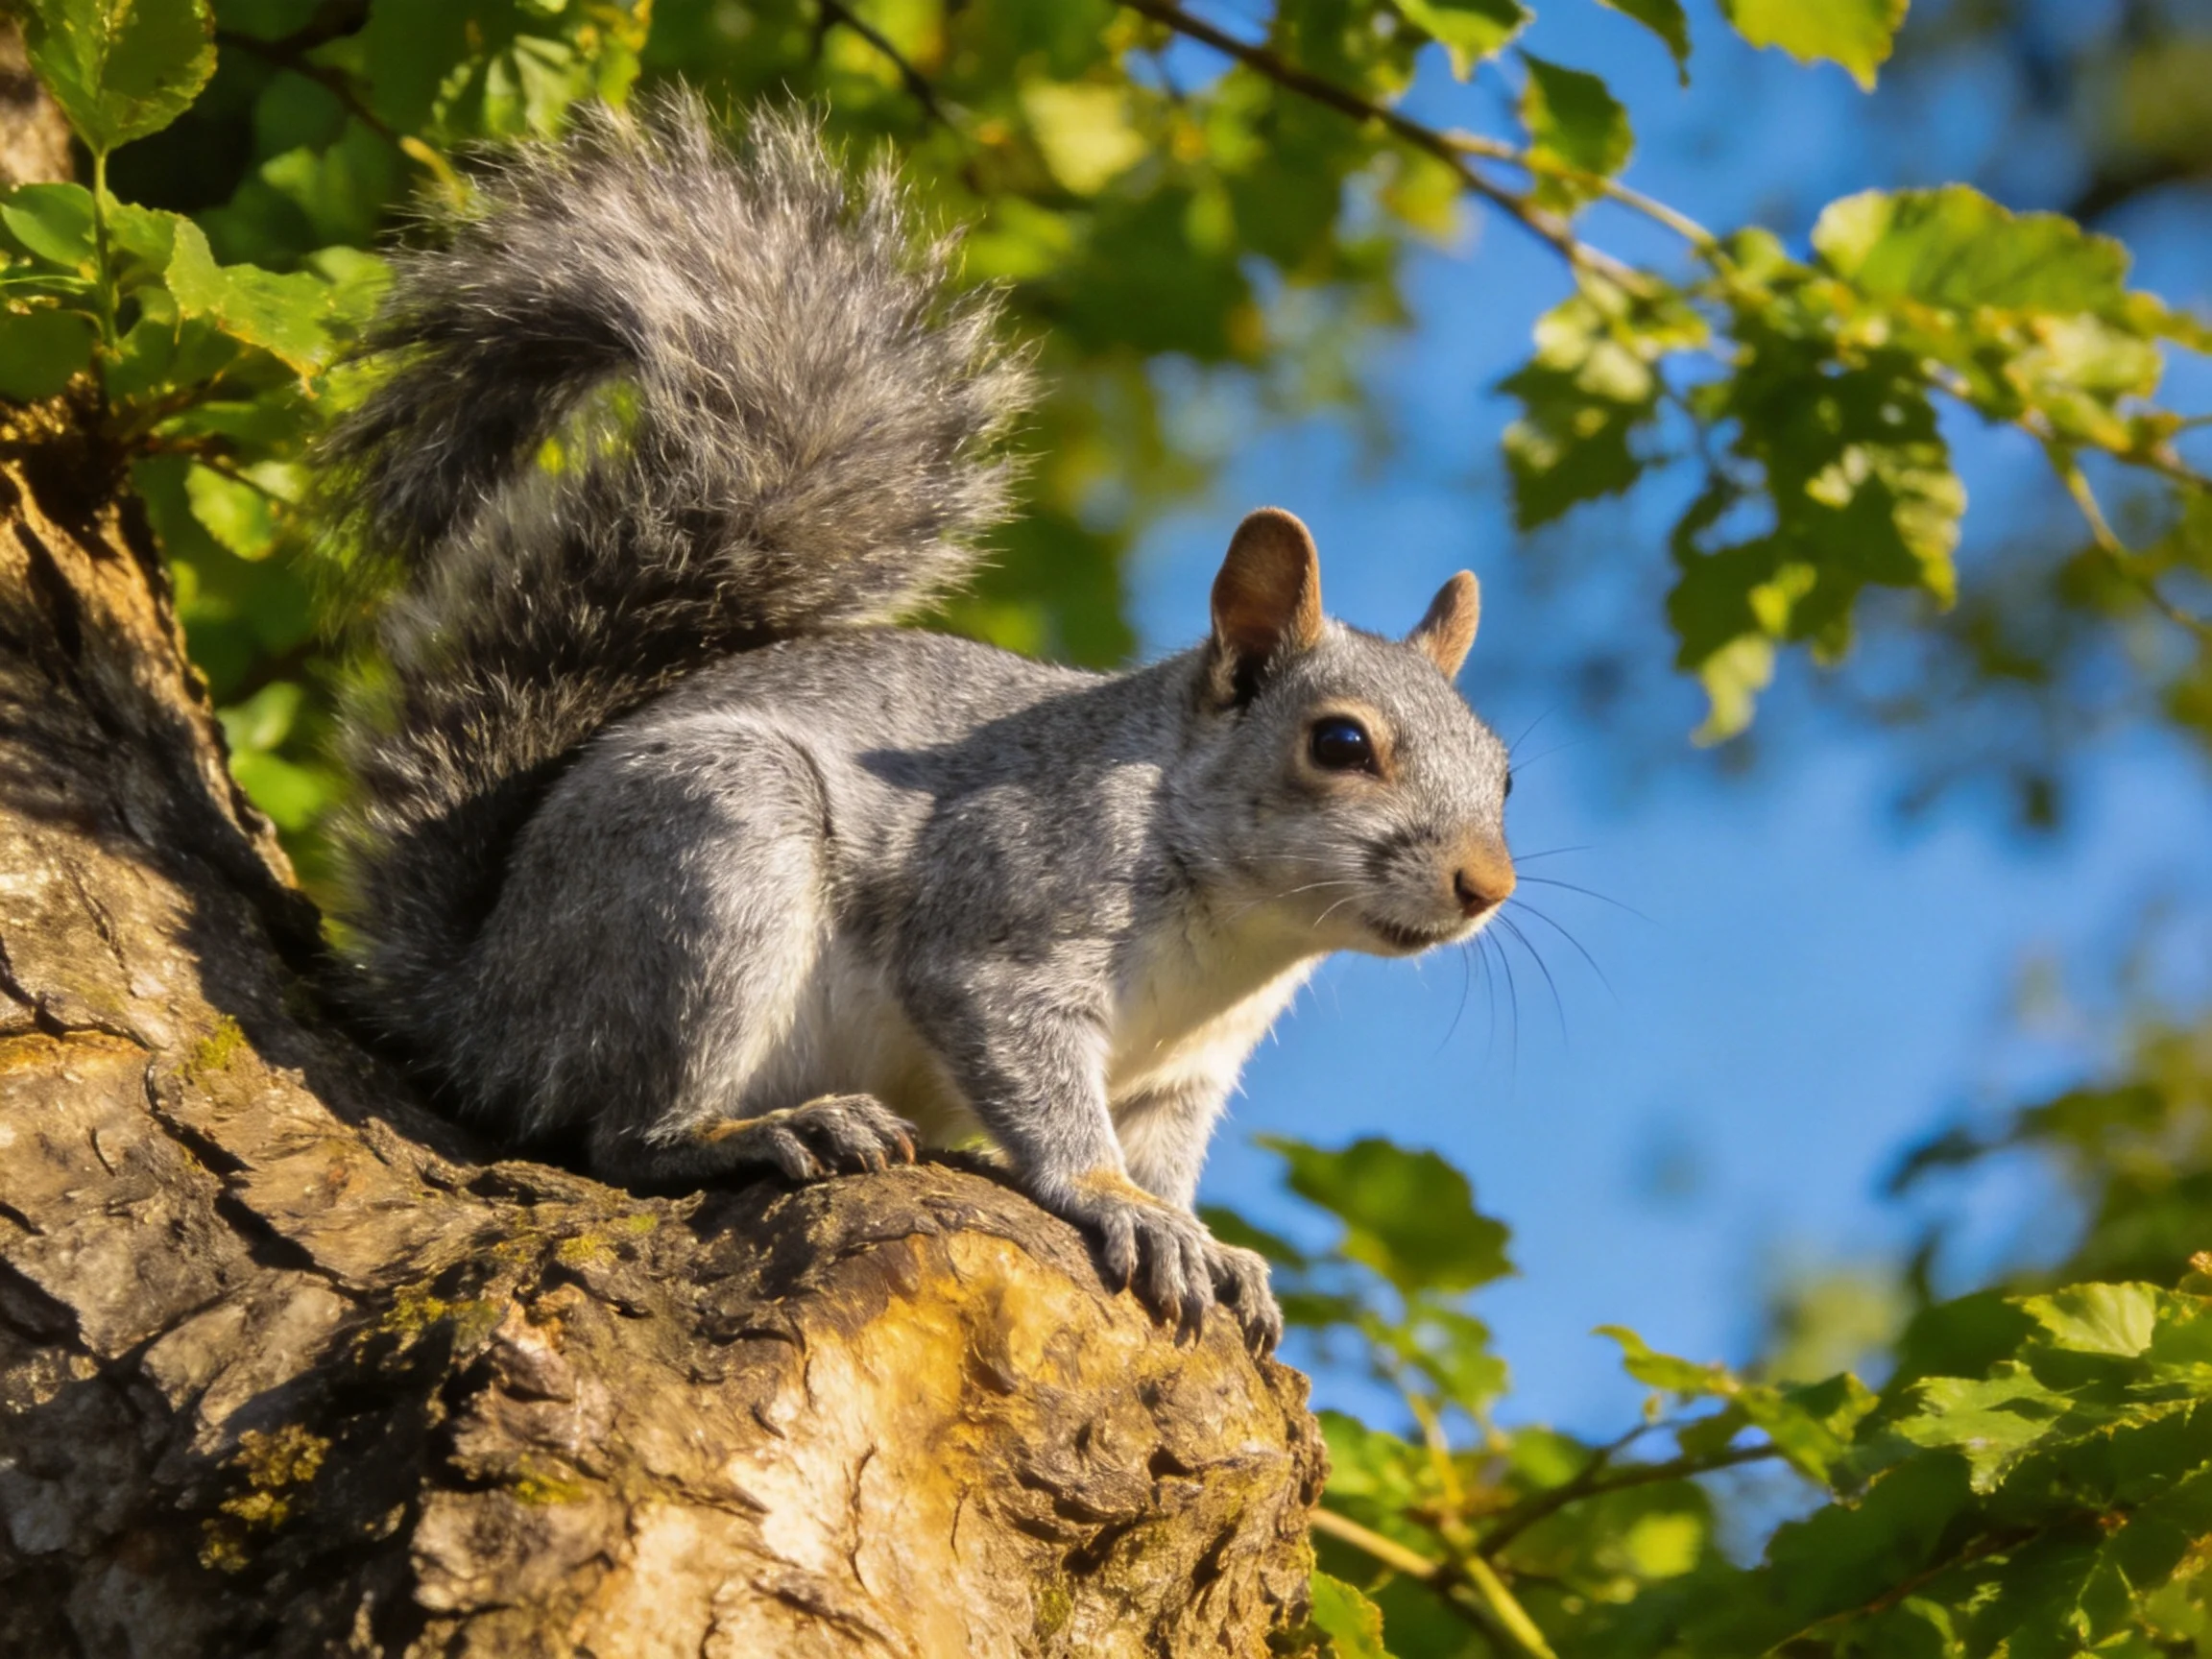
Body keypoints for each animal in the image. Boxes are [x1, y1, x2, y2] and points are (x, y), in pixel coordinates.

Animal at [327, 93, 1516, 1355]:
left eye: (1504, 776)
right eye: (1340, 744)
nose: (1486, 886)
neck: (1240, 929)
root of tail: (477, 1000)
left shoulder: (1183, 1076)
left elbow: (1167, 1156)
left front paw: (1209, 1242)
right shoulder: (1003, 924)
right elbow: (1032, 1075)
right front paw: (1118, 1205)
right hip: (708, 859)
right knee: (620, 1133)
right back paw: (760, 1131)